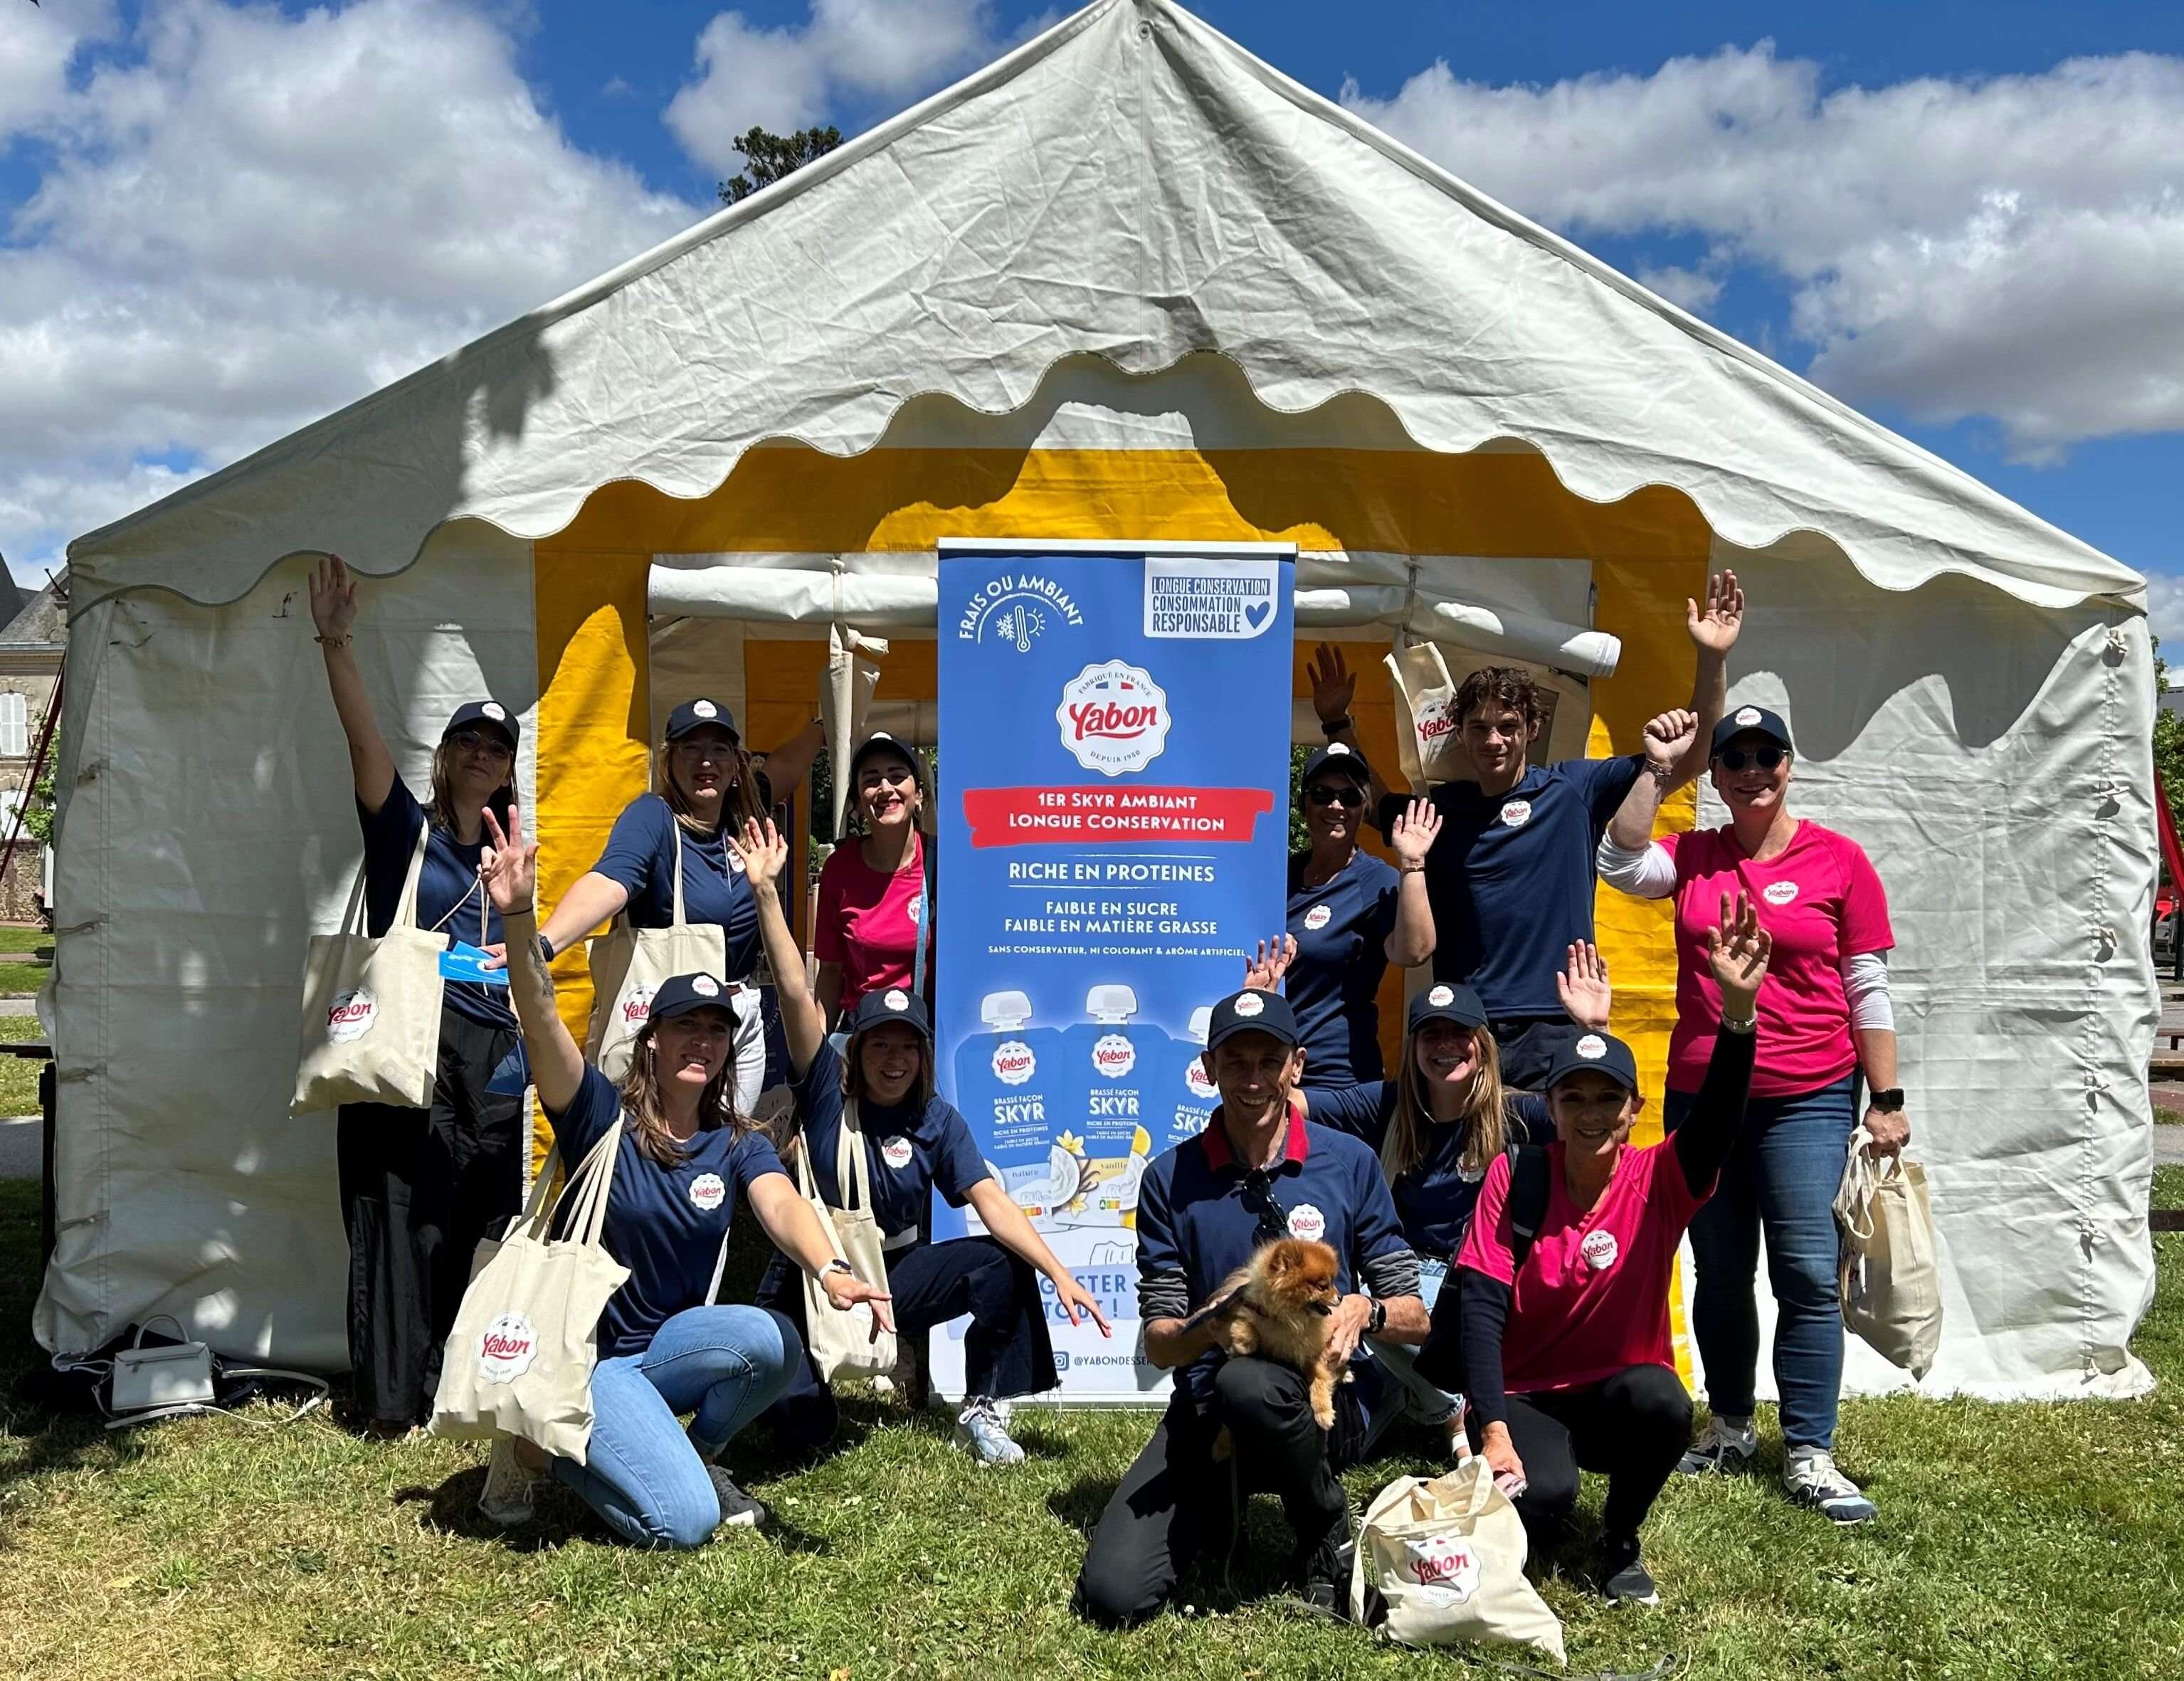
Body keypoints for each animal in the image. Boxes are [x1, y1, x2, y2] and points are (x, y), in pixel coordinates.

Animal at [1206, 1231, 1336, 1432]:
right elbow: (1246, 1327)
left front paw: (1324, 1411)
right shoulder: (1235, 1314)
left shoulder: (1313, 1353)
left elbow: (1320, 1378)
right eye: (1323, 1286)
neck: (1288, 1319)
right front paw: (1242, 1346)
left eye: (1332, 1282)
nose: (1341, 1296)